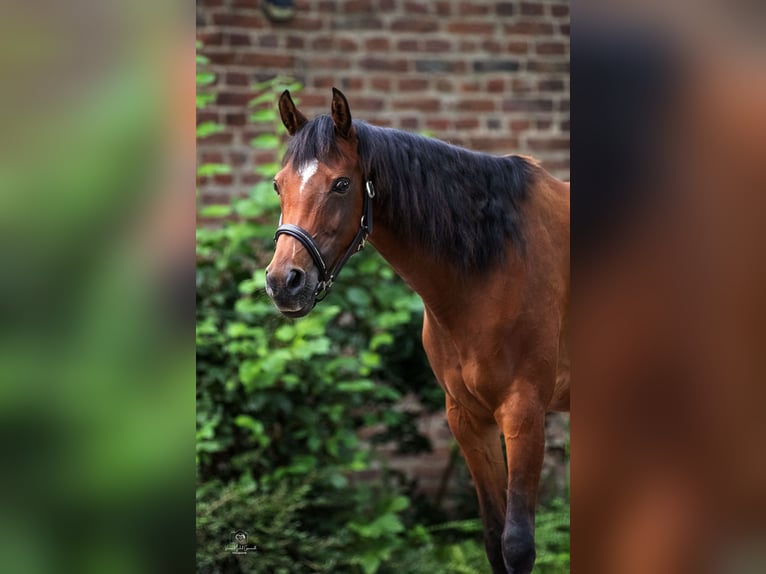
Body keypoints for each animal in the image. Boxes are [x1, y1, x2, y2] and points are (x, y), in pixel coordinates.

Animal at [264, 90, 568, 574]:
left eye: (341, 185)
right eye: (278, 185)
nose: (283, 282)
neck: (495, 262)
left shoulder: (525, 413)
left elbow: (518, 545)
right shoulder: (468, 419)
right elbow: (493, 539)